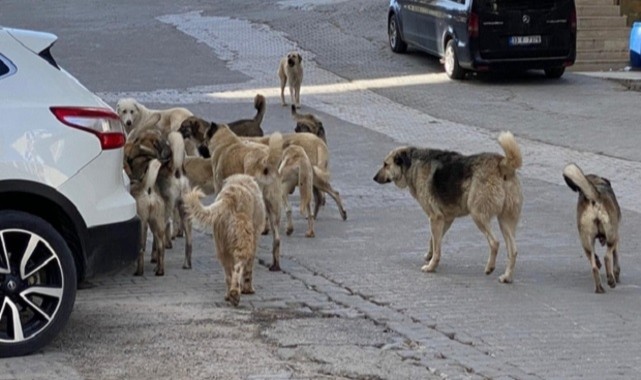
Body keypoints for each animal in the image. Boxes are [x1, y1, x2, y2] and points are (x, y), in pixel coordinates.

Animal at [184, 175, 266, 306]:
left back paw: (229, 295)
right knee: (238, 268)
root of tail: (229, 198)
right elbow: (248, 269)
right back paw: (235, 294)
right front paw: (248, 289)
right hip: (243, 241)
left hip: (221, 246)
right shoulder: (254, 239)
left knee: (229, 273)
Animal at [372, 132, 524, 284]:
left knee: (495, 242)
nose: (374, 178)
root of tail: (502, 163)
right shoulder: (446, 219)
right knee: (513, 250)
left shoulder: (435, 217)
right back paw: (507, 277)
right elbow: (434, 241)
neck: (412, 163)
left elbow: (437, 246)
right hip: (505, 221)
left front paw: (431, 267)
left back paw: (490, 267)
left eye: (386, 164)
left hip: (478, 214)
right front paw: (429, 256)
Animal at [560, 164, 620, 294]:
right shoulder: (616, 236)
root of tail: (594, 198)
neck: (596, 182)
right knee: (607, 256)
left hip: (586, 241)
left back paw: (599, 288)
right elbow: (615, 256)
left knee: (594, 266)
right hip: (612, 235)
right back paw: (611, 280)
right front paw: (617, 274)